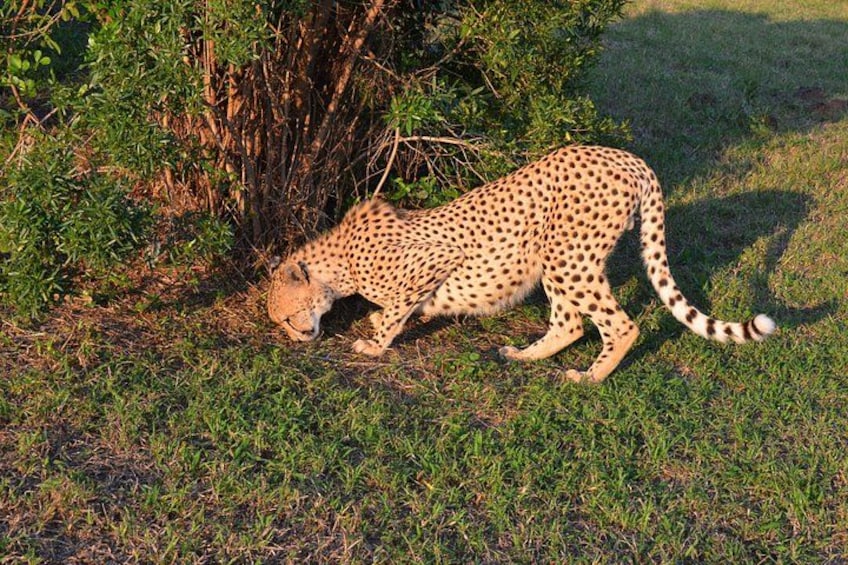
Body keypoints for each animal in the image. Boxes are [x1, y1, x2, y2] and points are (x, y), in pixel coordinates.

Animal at [267, 145, 776, 383]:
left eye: (289, 318)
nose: (301, 338)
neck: (336, 263)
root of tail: (629, 158)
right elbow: (409, 308)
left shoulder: (435, 258)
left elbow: (396, 311)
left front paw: (373, 345)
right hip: (556, 260)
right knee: (570, 324)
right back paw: (526, 355)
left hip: (566, 256)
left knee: (619, 325)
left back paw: (590, 377)